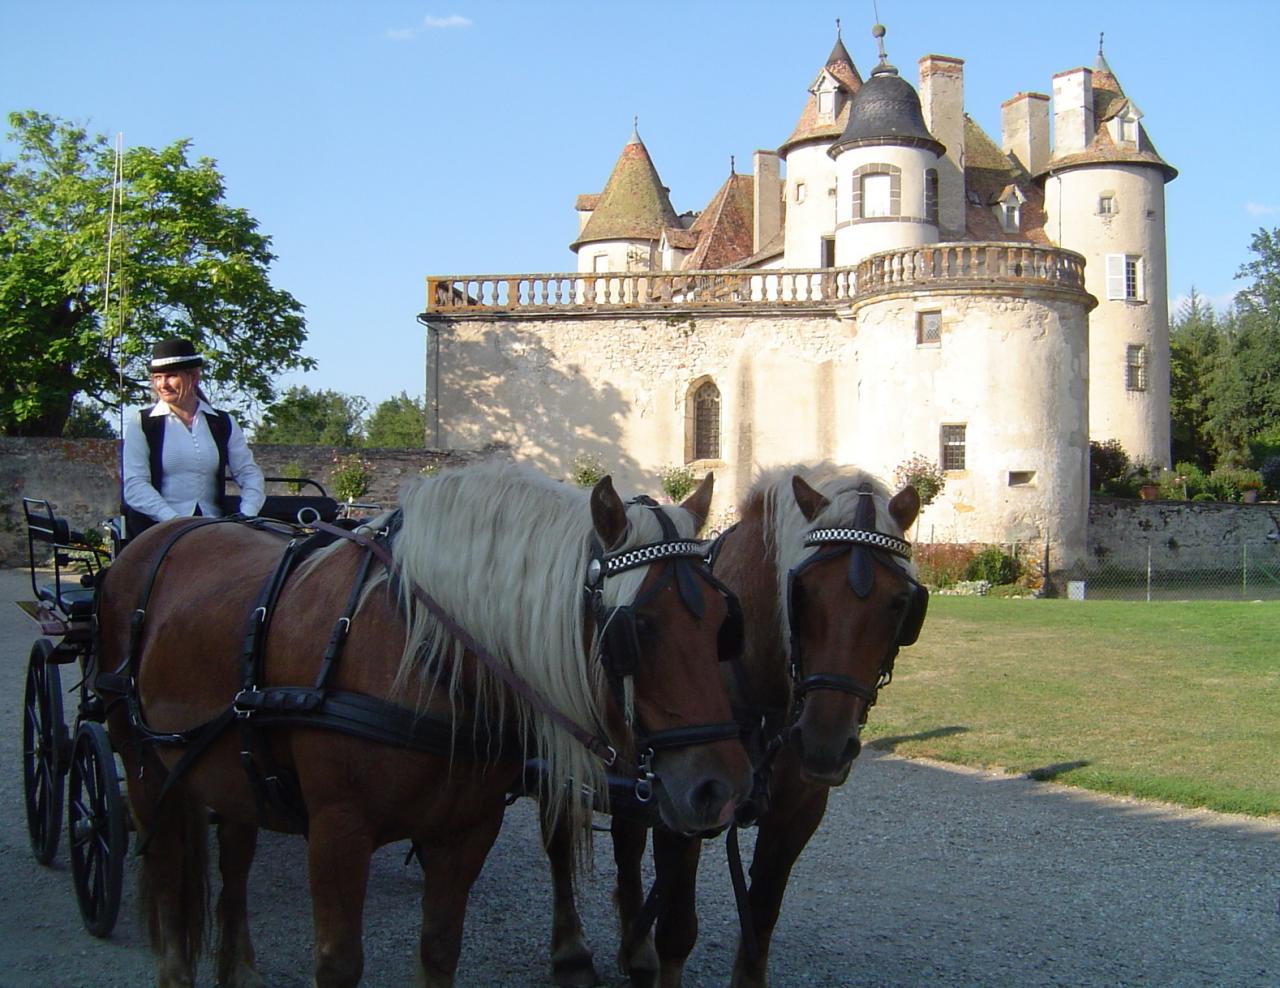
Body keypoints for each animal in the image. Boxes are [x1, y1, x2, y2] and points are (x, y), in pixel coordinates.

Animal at [97, 463, 747, 988]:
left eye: (724, 623)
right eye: (635, 631)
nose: (720, 790)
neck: (420, 650)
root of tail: (169, 531)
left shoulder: (466, 831)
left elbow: (439, 949)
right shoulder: (337, 831)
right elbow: (338, 963)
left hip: (232, 770)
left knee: (233, 856)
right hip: (143, 764)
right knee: (166, 869)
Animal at [545, 465, 926, 988]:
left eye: (901, 602)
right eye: (801, 592)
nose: (824, 744)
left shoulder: (795, 813)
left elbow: (761, 917)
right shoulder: (686, 804)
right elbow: (678, 931)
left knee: (626, 839)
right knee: (560, 838)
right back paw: (571, 951)